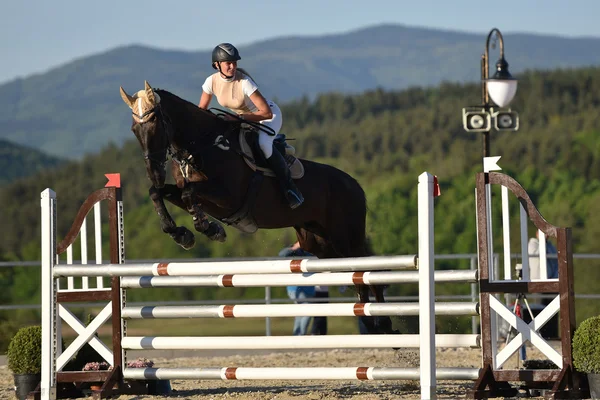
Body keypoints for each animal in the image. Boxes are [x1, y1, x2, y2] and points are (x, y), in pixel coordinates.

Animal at [119, 81, 396, 334]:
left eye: (155, 125)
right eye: (134, 129)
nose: (154, 173)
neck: (202, 145)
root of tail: (355, 185)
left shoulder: (227, 196)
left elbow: (190, 195)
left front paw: (208, 228)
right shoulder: (191, 192)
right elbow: (159, 193)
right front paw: (181, 233)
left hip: (345, 236)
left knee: (367, 269)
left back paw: (383, 321)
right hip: (319, 243)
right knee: (355, 273)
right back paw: (371, 320)